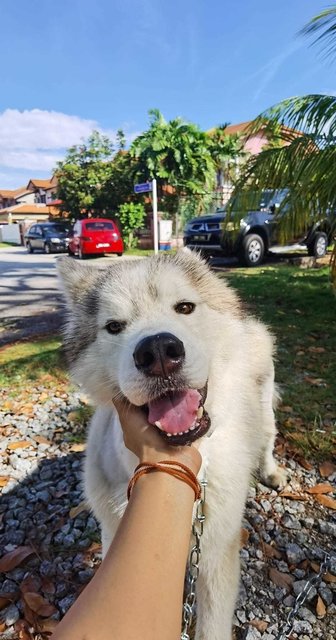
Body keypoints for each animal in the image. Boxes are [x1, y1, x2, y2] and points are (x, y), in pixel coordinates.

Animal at [58, 251, 286, 640]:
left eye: (184, 307)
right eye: (114, 326)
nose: (158, 351)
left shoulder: (216, 554)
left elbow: (212, 627)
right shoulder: (115, 536)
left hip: (264, 402)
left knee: (268, 436)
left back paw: (271, 472)